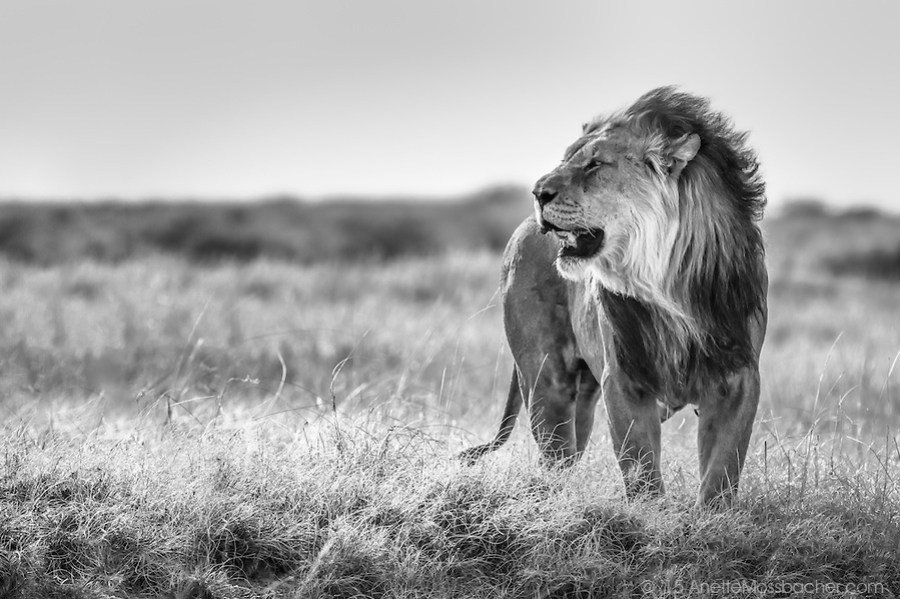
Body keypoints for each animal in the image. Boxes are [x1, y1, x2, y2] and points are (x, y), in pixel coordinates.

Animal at [461, 87, 768, 506]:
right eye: (566, 159)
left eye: (595, 164)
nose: (537, 193)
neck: (670, 285)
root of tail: (522, 228)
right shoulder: (624, 378)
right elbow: (640, 466)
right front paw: (650, 515)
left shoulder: (738, 377)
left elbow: (722, 469)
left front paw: (714, 518)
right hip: (547, 381)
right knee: (555, 455)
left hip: (583, 399)